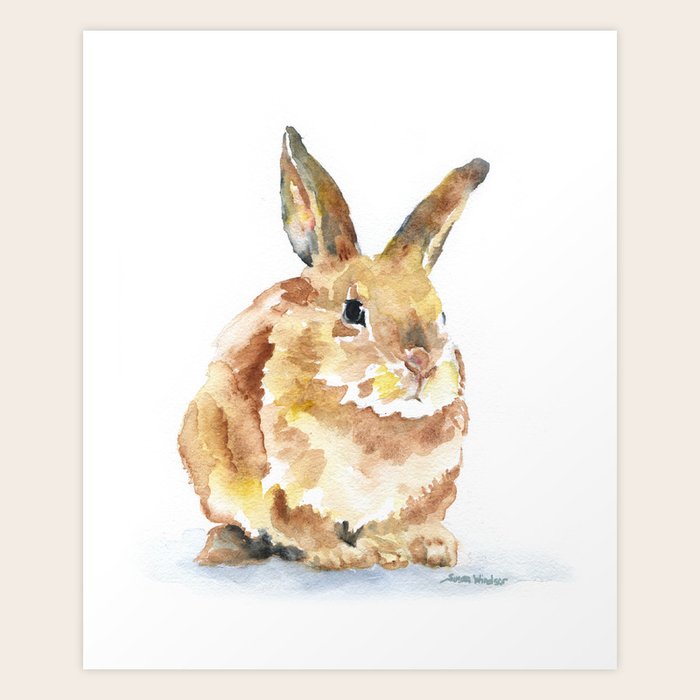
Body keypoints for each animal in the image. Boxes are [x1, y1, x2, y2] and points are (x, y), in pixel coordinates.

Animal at [178, 126, 489, 570]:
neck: (376, 418)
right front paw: (341, 557)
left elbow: (398, 523)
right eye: (354, 310)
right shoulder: (287, 491)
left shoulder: (422, 493)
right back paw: (224, 548)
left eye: (442, 315)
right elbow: (300, 525)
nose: (421, 363)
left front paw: (416, 550)